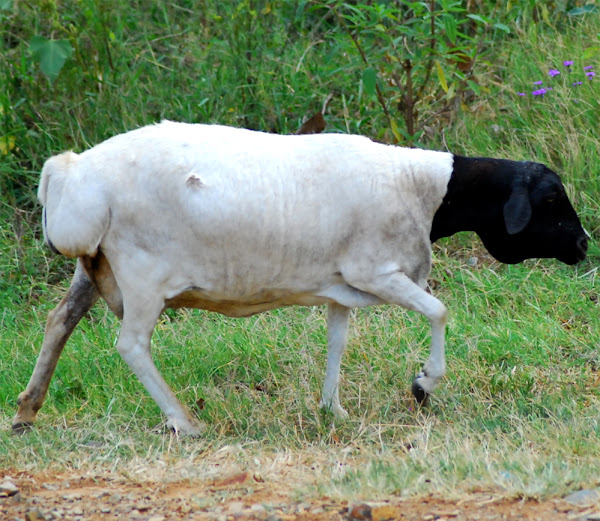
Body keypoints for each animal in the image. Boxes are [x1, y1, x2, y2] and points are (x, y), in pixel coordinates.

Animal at [11, 122, 588, 434]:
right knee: (131, 345)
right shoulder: (376, 271)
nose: (584, 245)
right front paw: (423, 385)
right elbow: (439, 311)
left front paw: (333, 410)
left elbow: (337, 341)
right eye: (551, 200)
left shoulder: (340, 284)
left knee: (58, 322)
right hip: (142, 272)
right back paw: (184, 421)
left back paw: (26, 411)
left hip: (94, 267)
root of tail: (70, 173)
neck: (421, 190)